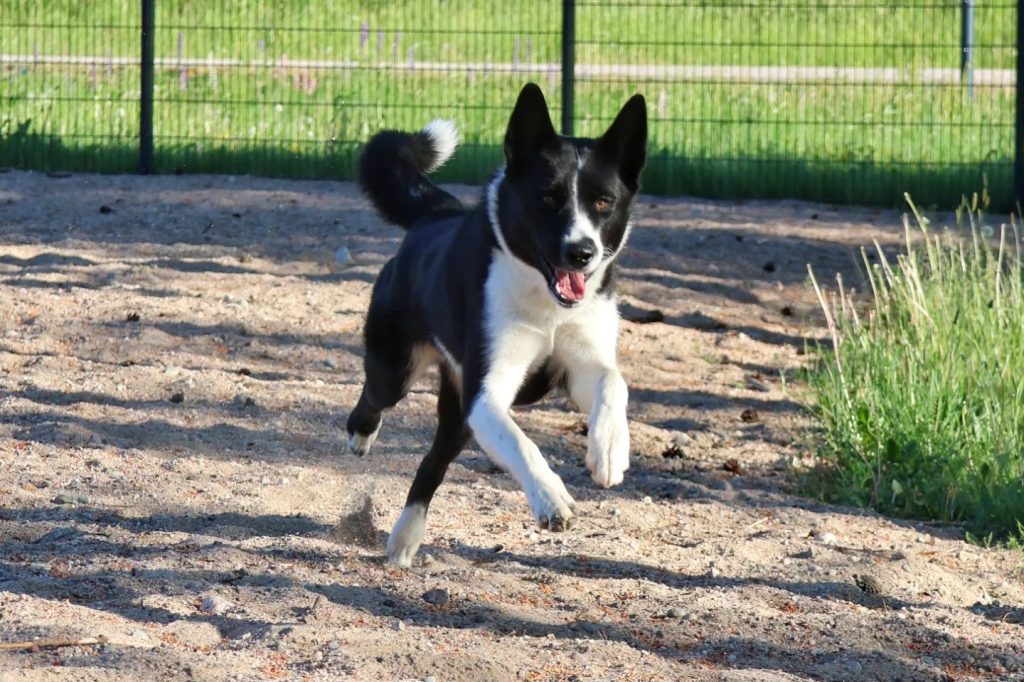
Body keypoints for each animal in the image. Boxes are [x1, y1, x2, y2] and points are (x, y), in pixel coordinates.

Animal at [348, 82, 647, 567]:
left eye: (604, 202)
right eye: (548, 197)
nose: (581, 252)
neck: (547, 302)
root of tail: (437, 214)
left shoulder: (578, 365)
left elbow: (612, 382)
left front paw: (608, 450)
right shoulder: (485, 394)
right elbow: (519, 442)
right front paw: (551, 499)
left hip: (456, 416)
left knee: (433, 462)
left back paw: (406, 536)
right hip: (398, 371)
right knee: (375, 399)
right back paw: (362, 436)